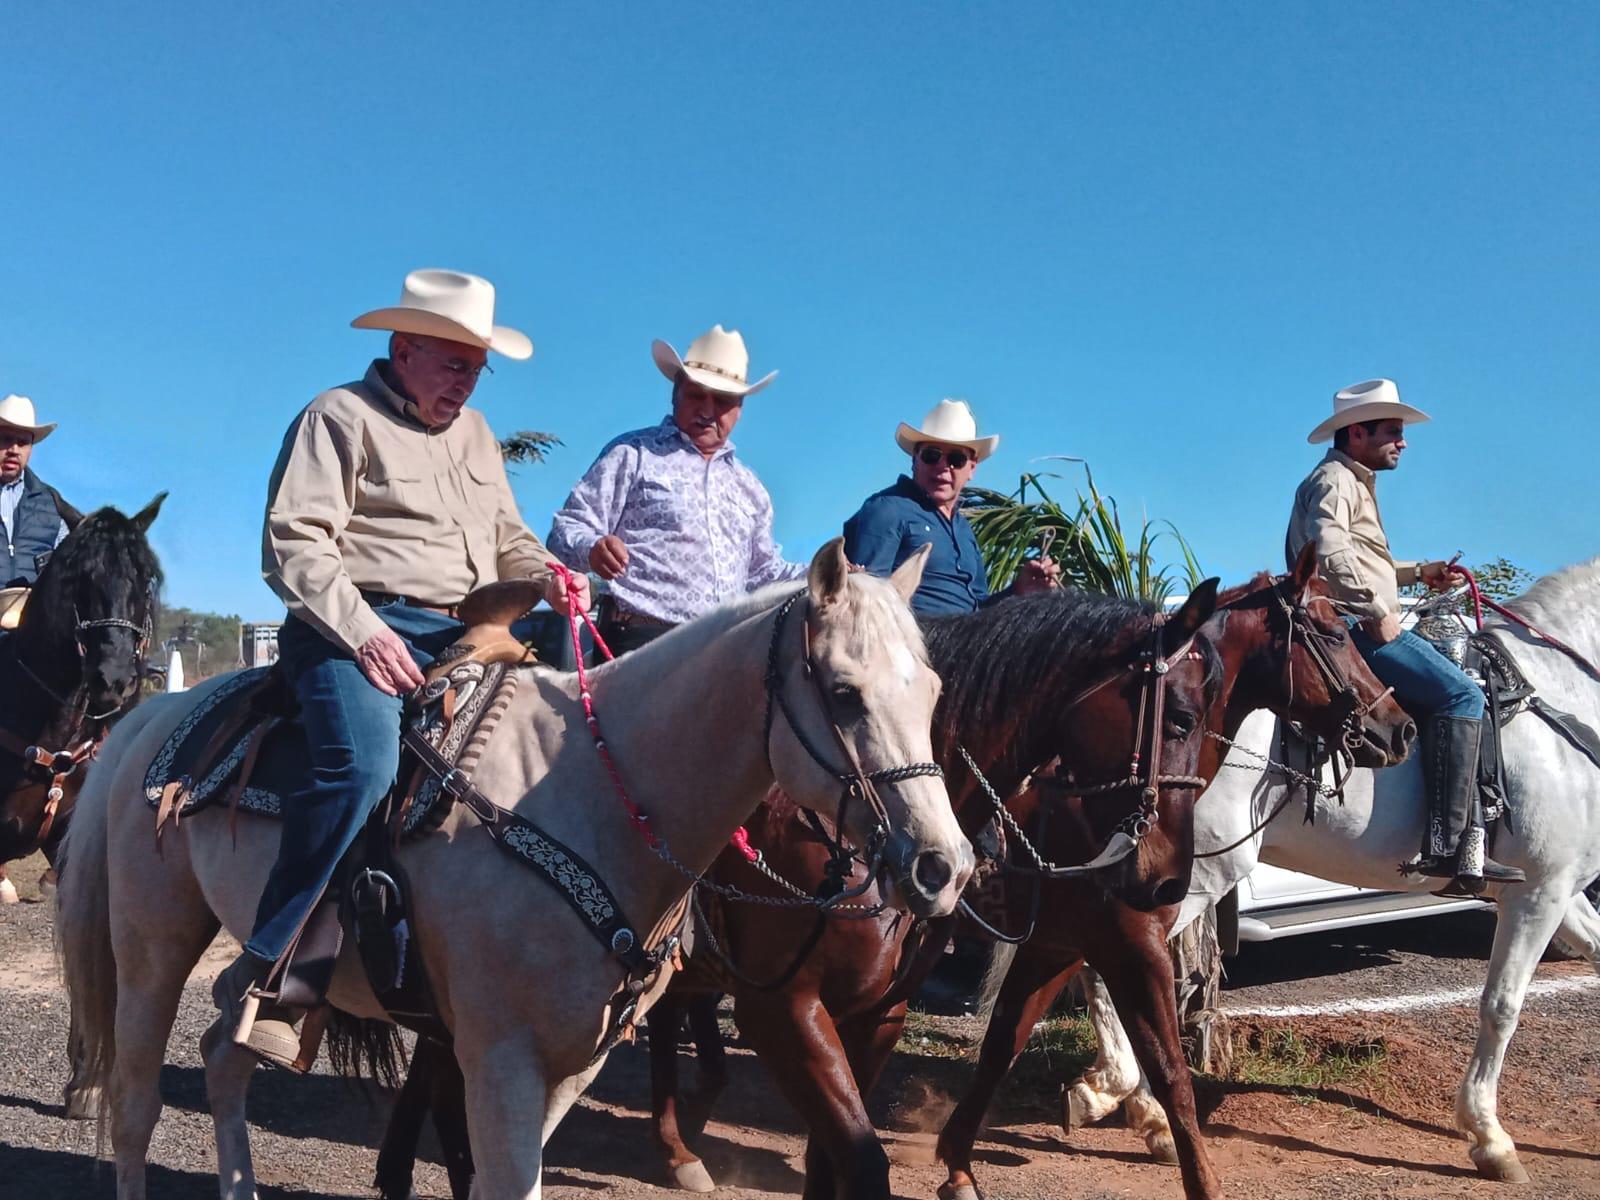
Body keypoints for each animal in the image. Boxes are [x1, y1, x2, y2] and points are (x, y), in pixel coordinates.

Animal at [56, 547, 966, 1200]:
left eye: (933, 692)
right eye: (844, 693)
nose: (943, 867)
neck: (589, 801)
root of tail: (151, 717)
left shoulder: (575, 1061)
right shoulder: (501, 1059)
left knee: (225, 1057)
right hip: (152, 942)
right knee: (135, 1105)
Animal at [1068, 556, 1600, 1184]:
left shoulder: (1564, 891)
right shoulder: (1539, 891)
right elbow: (1501, 1005)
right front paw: (1489, 1137)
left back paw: (1127, 1098)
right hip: (1199, 874)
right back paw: (1134, 1101)